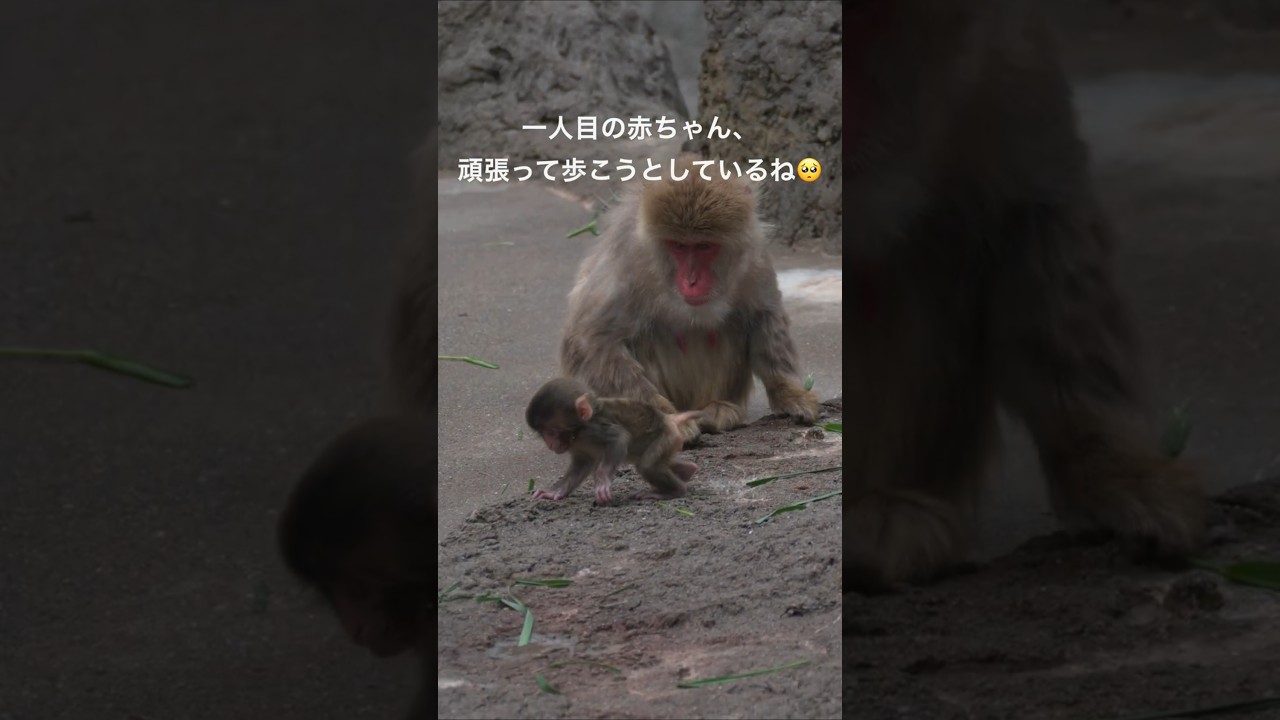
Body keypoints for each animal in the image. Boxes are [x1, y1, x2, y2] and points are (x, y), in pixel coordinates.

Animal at [526, 377, 703, 504]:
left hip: (667, 437)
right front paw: (554, 491)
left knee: (647, 465)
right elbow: (581, 464)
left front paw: (602, 480)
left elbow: (620, 437)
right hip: (671, 441)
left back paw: (675, 490)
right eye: (543, 434)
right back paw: (688, 470)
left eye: (552, 432)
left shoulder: (593, 429)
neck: (580, 430)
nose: (550, 444)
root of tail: (669, 419)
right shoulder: (577, 443)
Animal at [559, 155, 820, 444]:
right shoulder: (628, 259)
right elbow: (589, 342)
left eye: (704, 246)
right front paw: (664, 420)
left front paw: (789, 392)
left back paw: (718, 412)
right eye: (679, 246)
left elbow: (764, 314)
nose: (691, 280)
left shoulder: (754, 254)